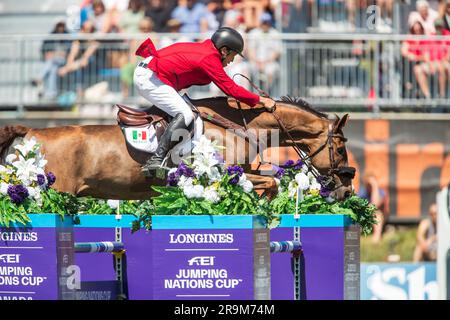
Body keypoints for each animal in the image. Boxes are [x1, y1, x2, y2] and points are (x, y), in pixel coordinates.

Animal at [0, 95, 356, 200]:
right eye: (339, 150)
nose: (346, 191)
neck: (239, 125)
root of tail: (32, 130)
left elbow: (269, 182)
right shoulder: (226, 173)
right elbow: (268, 183)